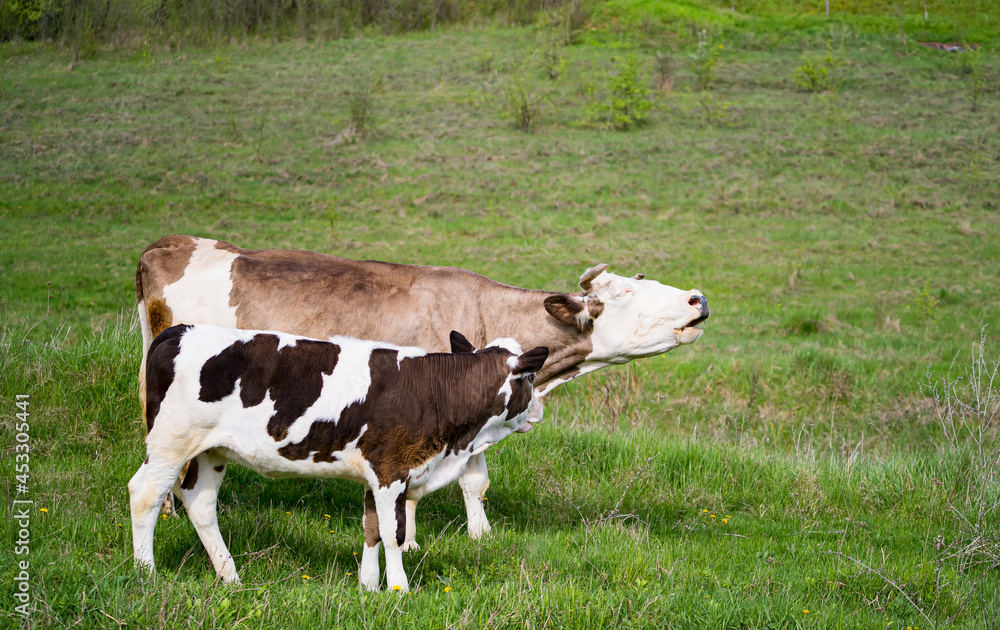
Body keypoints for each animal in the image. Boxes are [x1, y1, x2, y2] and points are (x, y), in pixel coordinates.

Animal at [132, 326, 548, 592]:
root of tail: (178, 330)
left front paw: (369, 587)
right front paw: (399, 589)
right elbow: (394, 533)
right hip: (171, 441)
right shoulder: (391, 470)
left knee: (200, 504)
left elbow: (371, 529)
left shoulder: (375, 473)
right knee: (145, 494)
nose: (540, 410)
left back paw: (230, 577)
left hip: (212, 449)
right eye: (530, 378)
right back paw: (145, 572)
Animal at [135, 236, 712, 548]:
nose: (697, 297)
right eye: (629, 293)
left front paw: (481, 536)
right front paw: (408, 540)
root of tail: (170, 245)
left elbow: (476, 480)